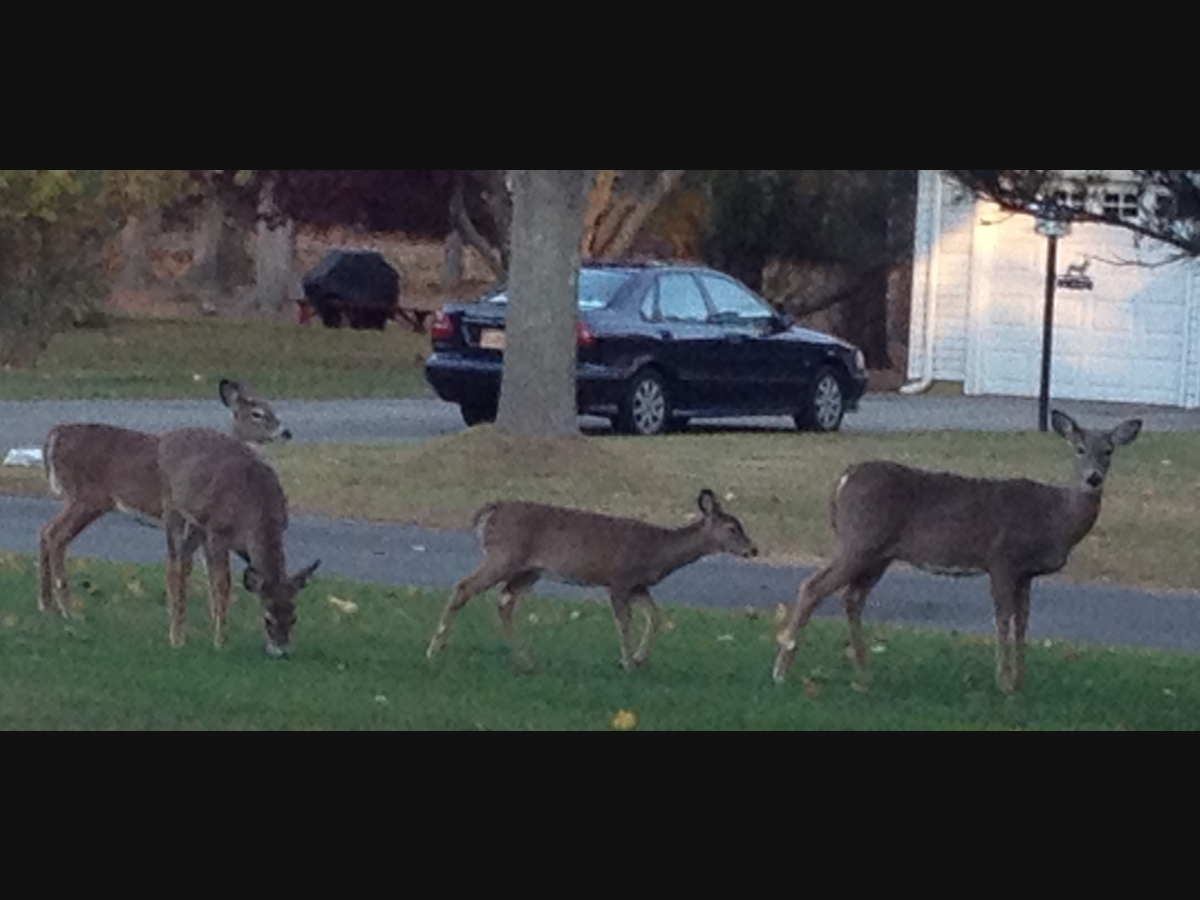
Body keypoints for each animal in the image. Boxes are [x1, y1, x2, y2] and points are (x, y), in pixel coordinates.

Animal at [38, 380, 292, 618]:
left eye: (273, 408)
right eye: (257, 413)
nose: (286, 432)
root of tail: (54, 435)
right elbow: (189, 567)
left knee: (45, 531)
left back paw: (47, 605)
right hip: (88, 497)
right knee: (56, 536)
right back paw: (67, 609)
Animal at [157, 427, 320, 657]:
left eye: (294, 618)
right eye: (267, 619)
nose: (282, 651)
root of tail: (169, 435)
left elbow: (216, 582)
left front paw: (217, 629)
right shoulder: (218, 534)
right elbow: (222, 585)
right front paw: (221, 642)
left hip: (198, 526)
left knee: (185, 559)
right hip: (171, 506)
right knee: (173, 562)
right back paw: (175, 636)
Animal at [427, 490, 759, 673]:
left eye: (742, 525)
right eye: (732, 528)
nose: (753, 549)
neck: (658, 551)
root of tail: (491, 510)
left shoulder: (638, 585)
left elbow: (656, 616)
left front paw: (640, 659)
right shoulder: (619, 579)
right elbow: (624, 622)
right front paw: (627, 662)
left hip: (528, 570)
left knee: (504, 602)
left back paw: (525, 660)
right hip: (504, 555)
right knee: (463, 587)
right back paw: (434, 649)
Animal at [773, 410, 1143, 694]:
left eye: (1109, 451)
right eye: (1079, 449)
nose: (1093, 479)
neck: (1054, 519)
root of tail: (843, 479)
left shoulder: (1026, 573)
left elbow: (1024, 623)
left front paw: (1020, 682)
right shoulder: (1002, 559)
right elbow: (1003, 620)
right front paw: (1003, 683)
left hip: (879, 554)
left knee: (851, 598)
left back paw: (864, 674)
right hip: (859, 540)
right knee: (813, 586)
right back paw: (781, 670)